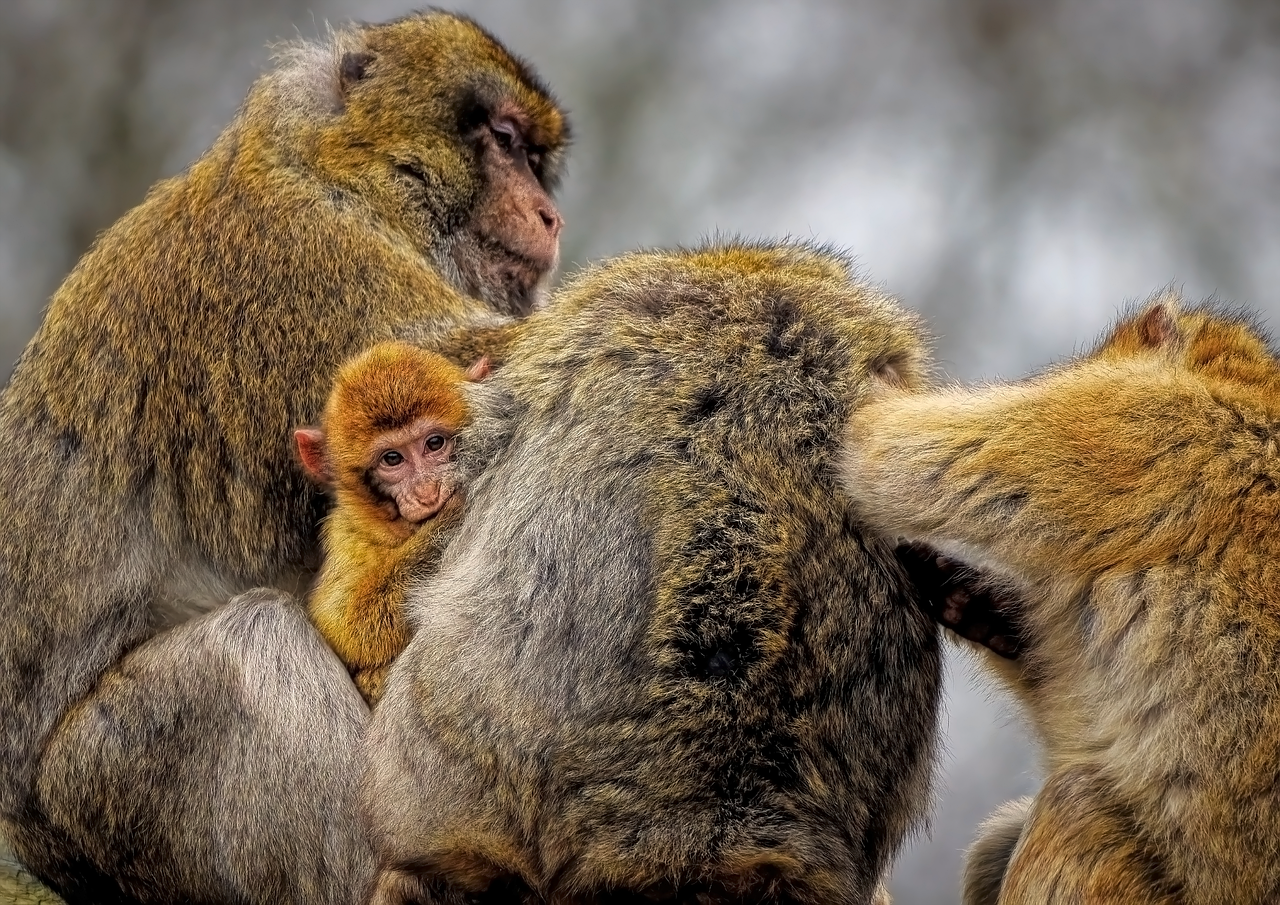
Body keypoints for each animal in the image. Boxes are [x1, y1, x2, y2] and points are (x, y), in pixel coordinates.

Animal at [294, 341, 488, 705]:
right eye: (392, 459)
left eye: (434, 443)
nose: (427, 491)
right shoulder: (347, 535)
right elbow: (343, 624)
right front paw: (453, 512)